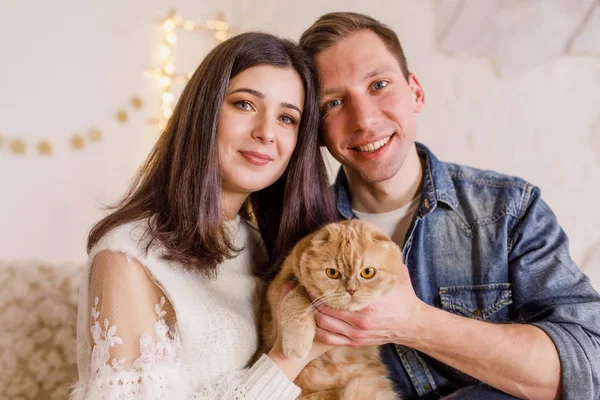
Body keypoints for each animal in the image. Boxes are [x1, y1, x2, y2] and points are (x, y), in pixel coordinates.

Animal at [260, 220, 400, 398]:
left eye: (367, 272)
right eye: (332, 273)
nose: (351, 290)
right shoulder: (279, 290)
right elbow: (297, 294)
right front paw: (297, 344)